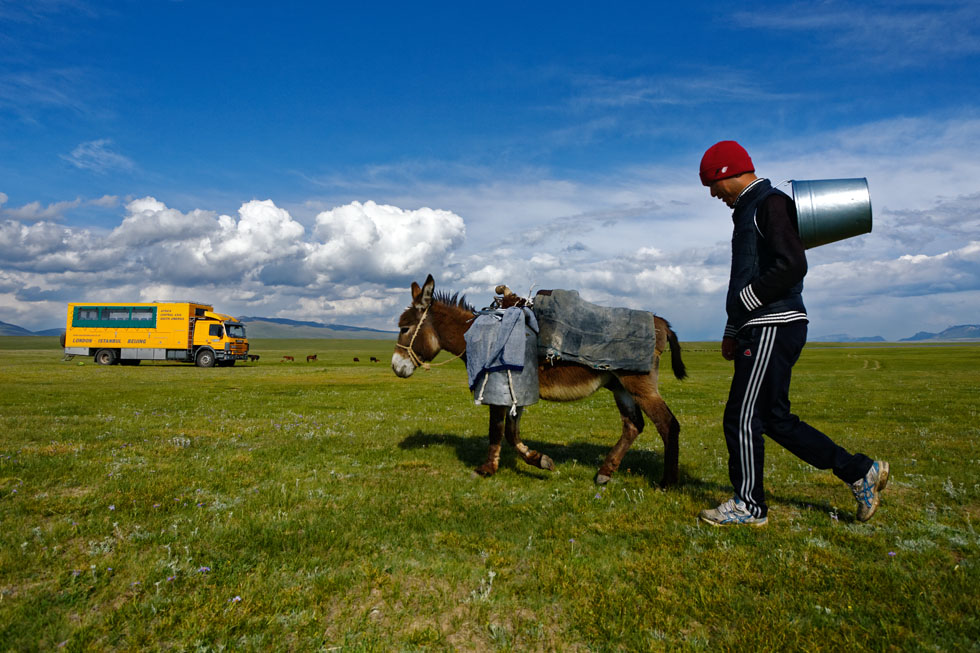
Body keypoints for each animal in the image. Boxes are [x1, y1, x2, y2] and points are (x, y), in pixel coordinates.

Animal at [392, 274, 688, 484]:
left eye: (405, 328)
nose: (395, 367)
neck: (482, 335)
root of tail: (661, 322)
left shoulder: (499, 387)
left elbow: (498, 430)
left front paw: (488, 469)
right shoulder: (516, 391)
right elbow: (510, 432)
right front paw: (538, 460)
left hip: (639, 384)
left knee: (667, 424)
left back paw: (667, 482)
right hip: (620, 386)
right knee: (633, 425)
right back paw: (605, 472)